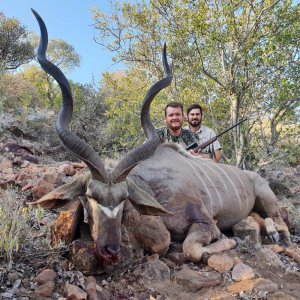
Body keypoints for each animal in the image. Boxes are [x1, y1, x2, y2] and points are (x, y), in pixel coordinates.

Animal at [31, 9, 290, 266]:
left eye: (125, 198)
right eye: (90, 196)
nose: (110, 249)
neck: (154, 188)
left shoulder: (205, 222)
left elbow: (192, 249)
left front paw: (230, 241)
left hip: (266, 196)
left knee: (279, 219)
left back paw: (277, 234)